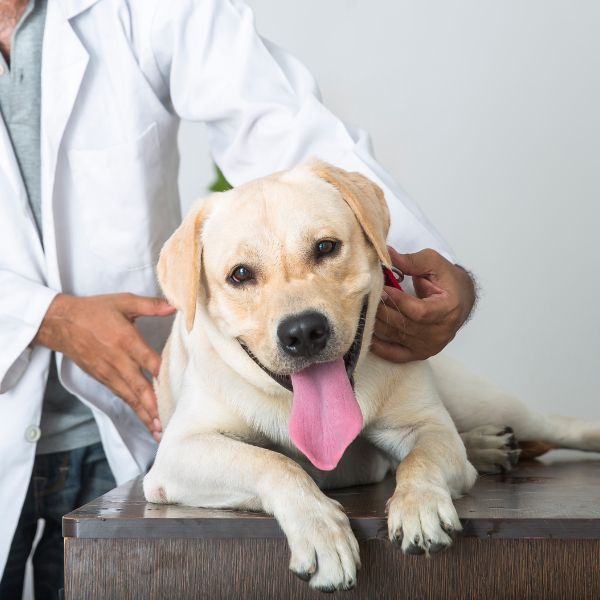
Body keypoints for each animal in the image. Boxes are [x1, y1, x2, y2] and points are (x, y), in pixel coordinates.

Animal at [142, 158, 600, 592]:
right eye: (240, 274)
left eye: (326, 247)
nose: (303, 331)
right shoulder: (179, 453)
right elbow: (273, 463)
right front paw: (321, 531)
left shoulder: (425, 426)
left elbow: (421, 459)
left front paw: (419, 507)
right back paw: (487, 446)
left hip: (483, 402)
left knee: (555, 424)